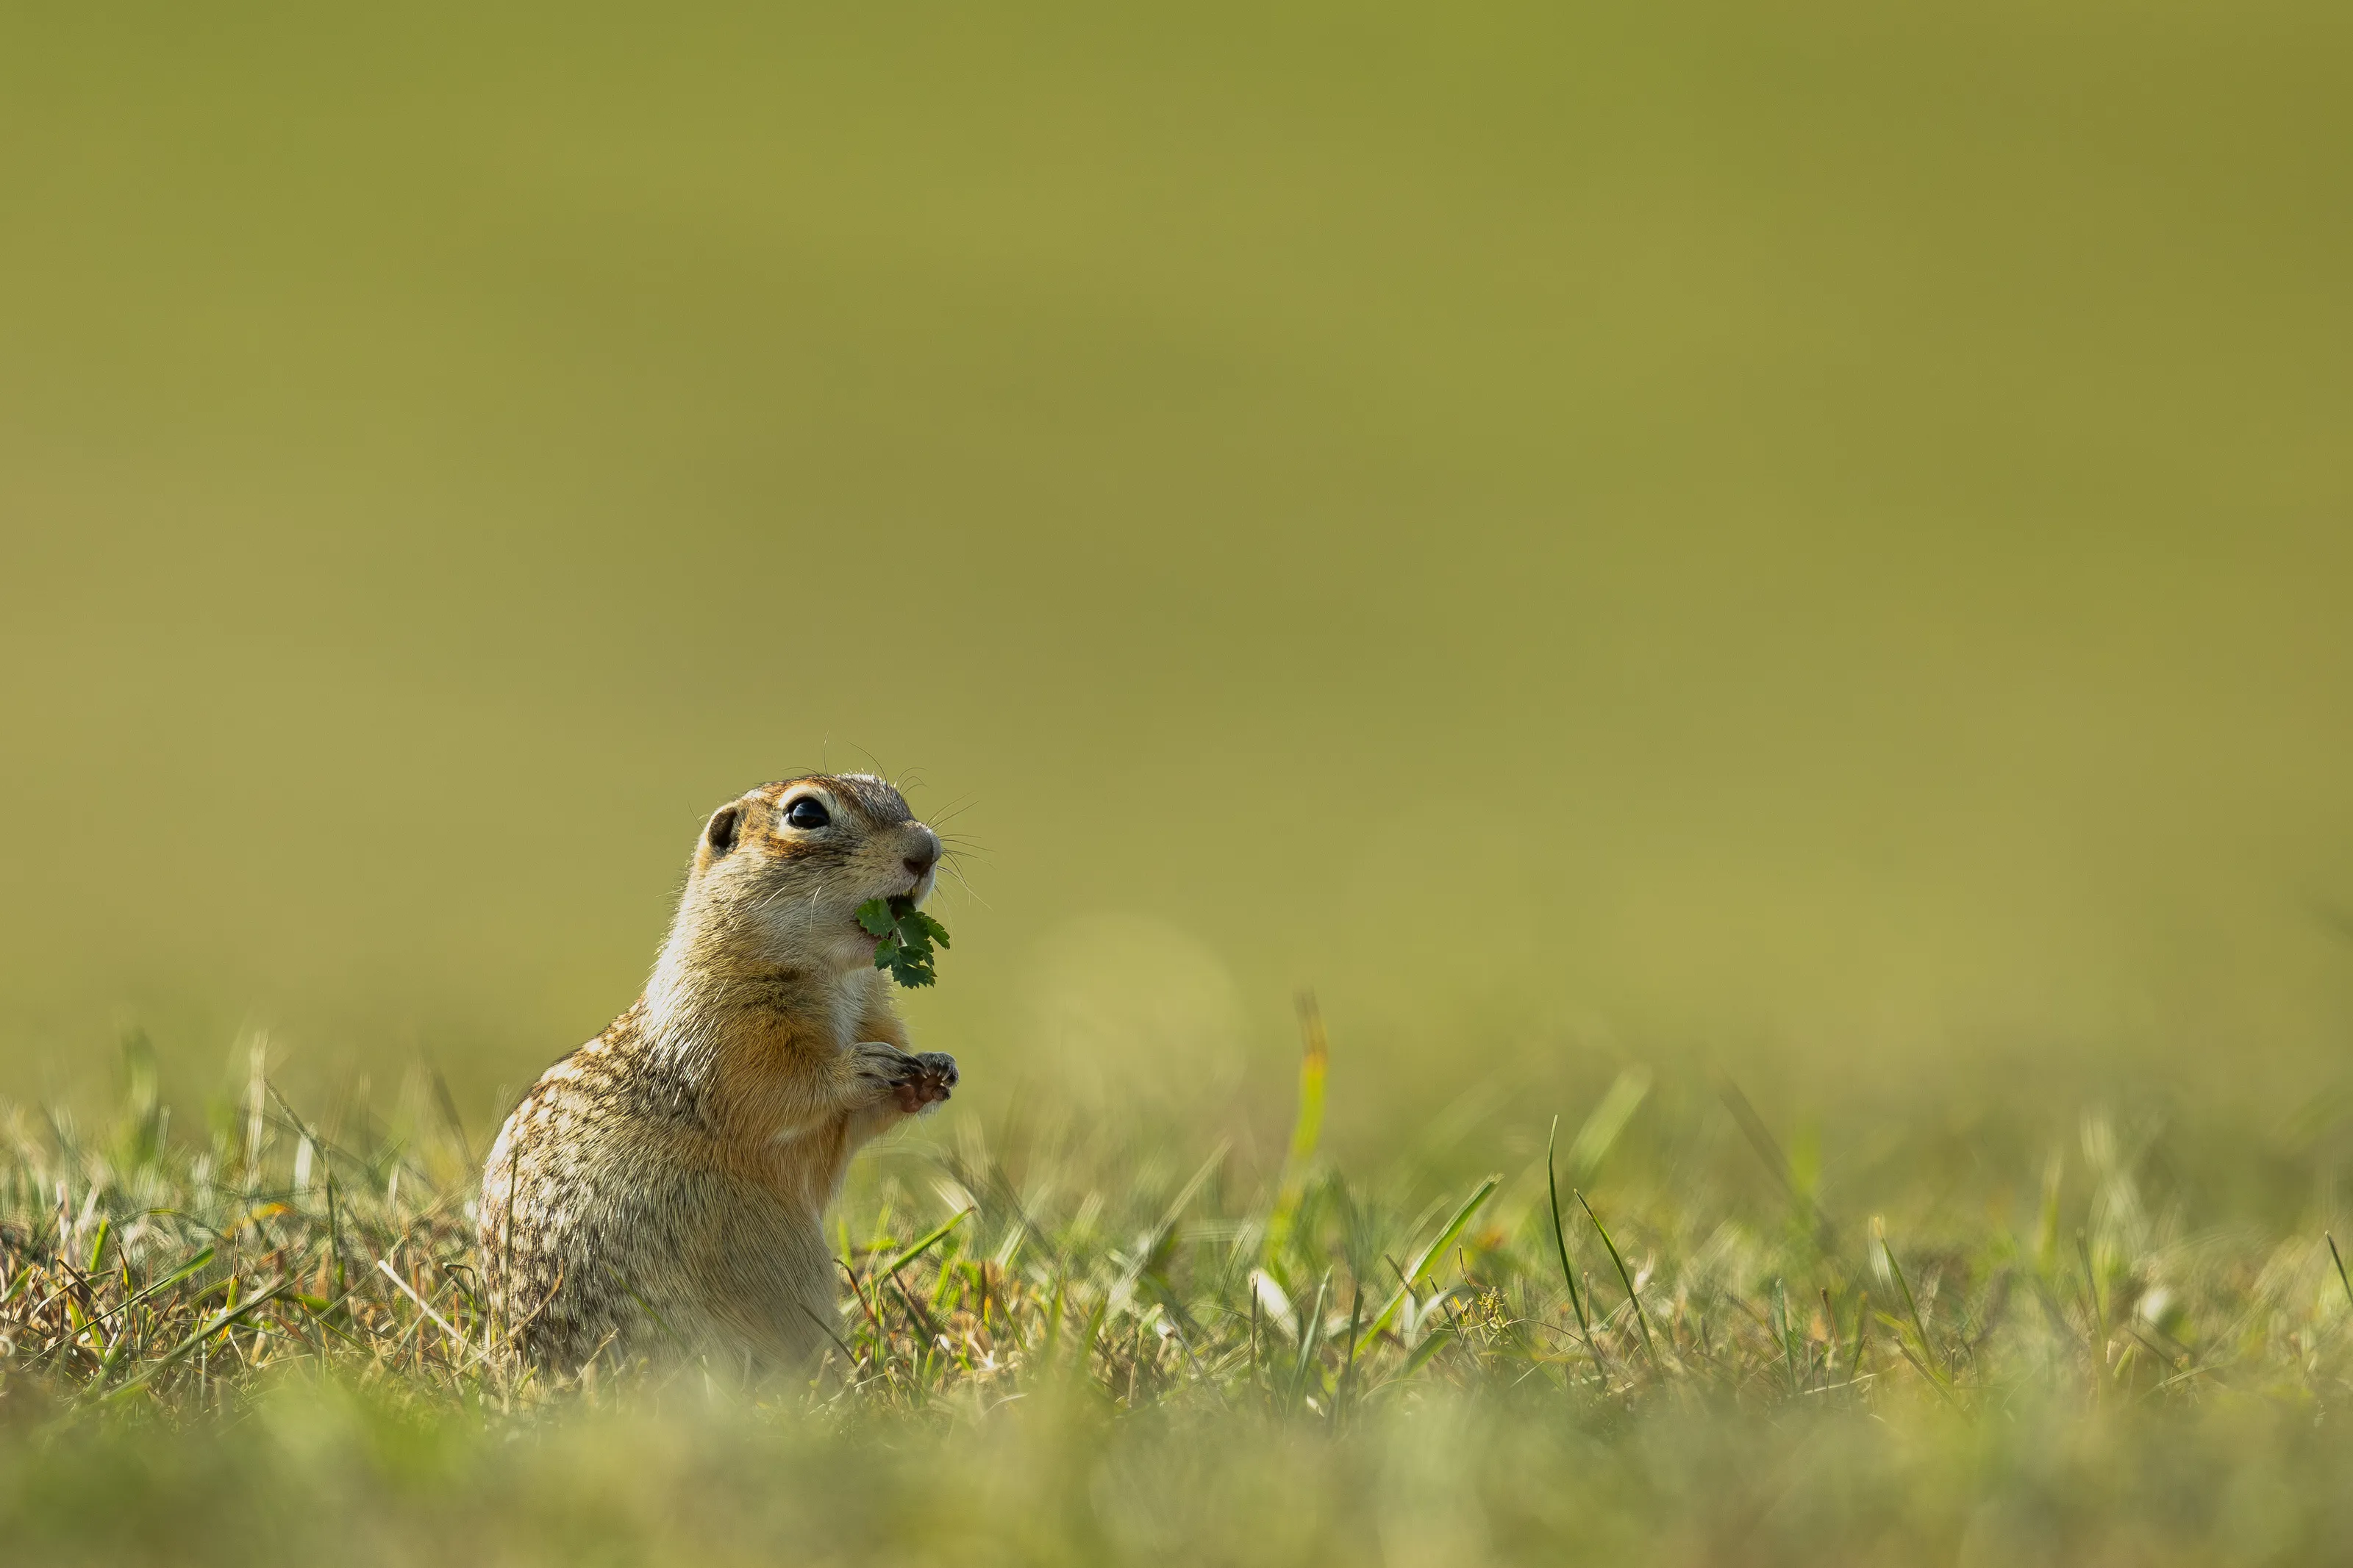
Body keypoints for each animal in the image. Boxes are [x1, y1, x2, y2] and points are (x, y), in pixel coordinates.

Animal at [477, 774, 958, 1373]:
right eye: (806, 813)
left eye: (893, 793)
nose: (927, 849)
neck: (836, 978)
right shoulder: (726, 1029)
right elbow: (780, 1088)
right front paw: (861, 1065)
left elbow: (856, 1122)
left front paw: (934, 1071)